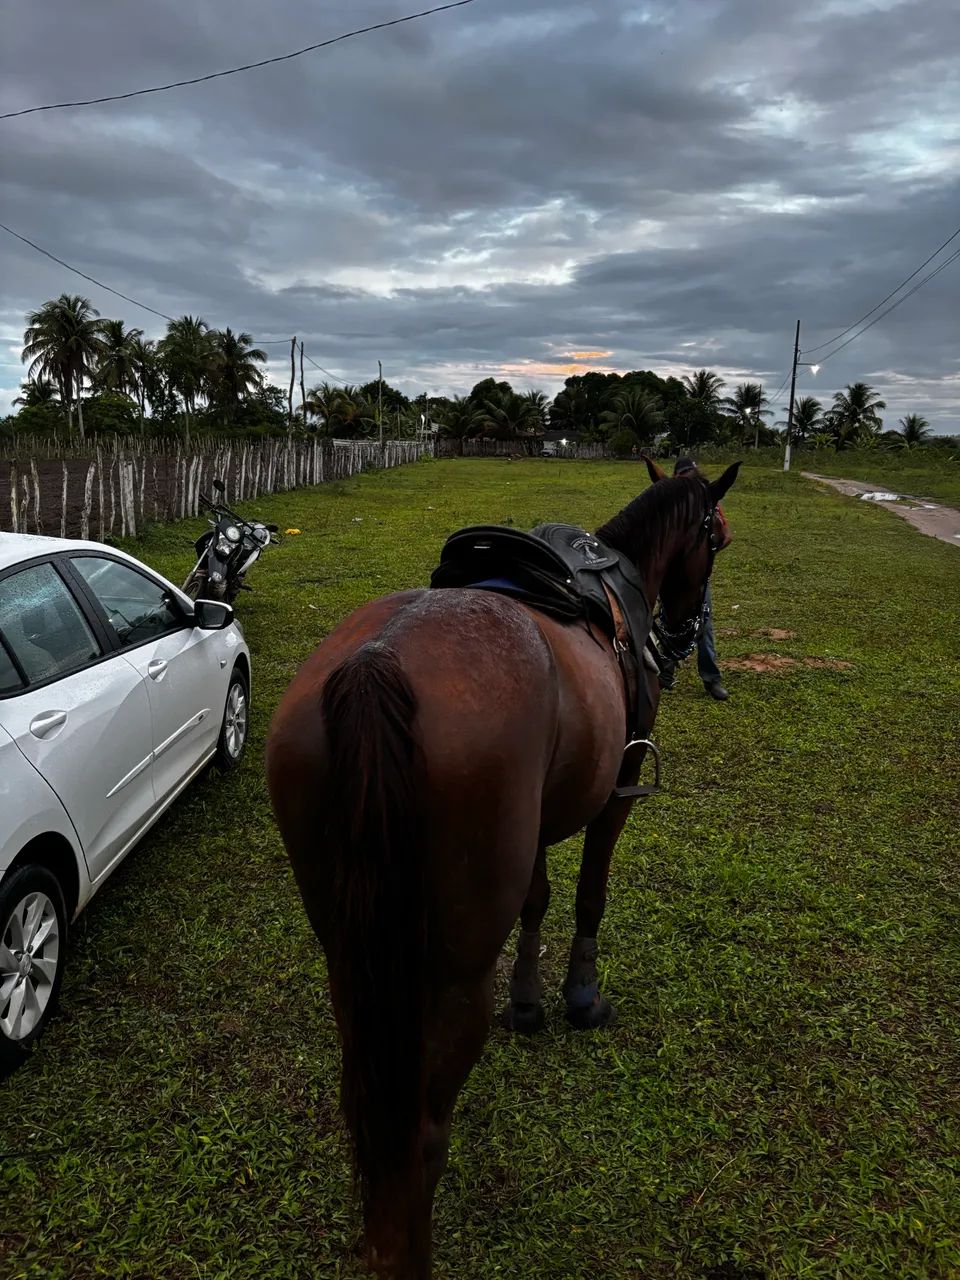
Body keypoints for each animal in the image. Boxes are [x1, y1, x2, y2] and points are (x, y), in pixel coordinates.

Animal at [266, 456, 740, 1279]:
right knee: (417, 1140)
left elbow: (539, 899)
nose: (684, 636)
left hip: (352, 956)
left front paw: (529, 1000)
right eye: (714, 541)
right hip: (453, 972)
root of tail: (374, 665)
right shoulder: (616, 793)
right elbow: (588, 897)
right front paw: (579, 997)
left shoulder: (541, 819)